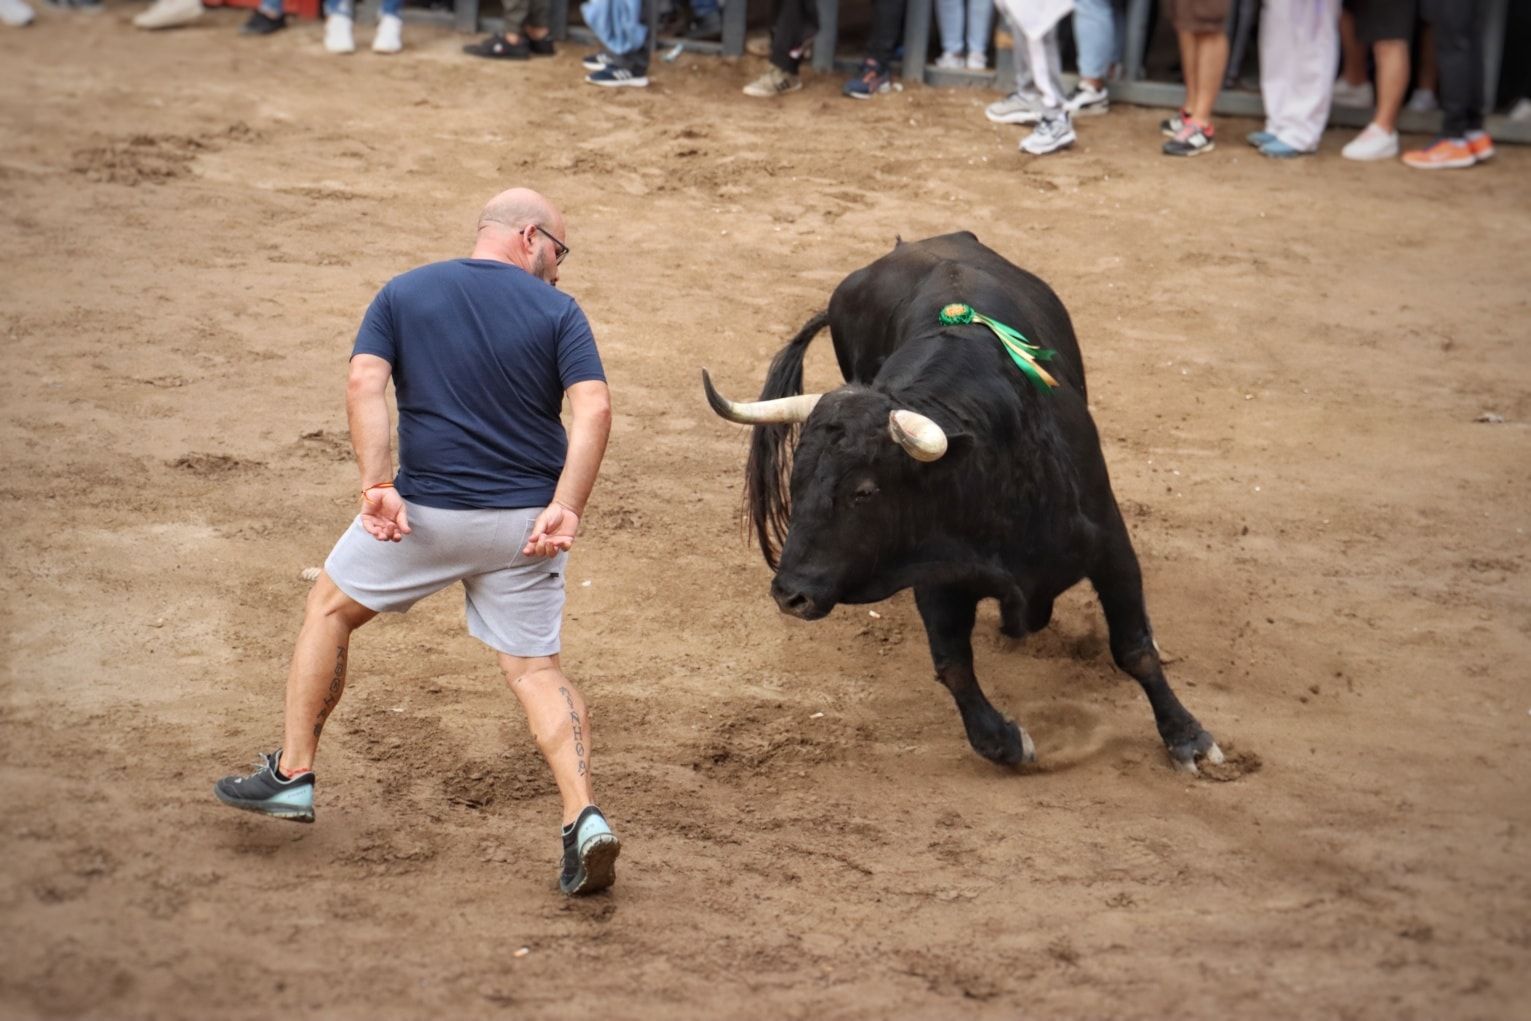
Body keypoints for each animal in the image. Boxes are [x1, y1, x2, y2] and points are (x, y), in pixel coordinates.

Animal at [701, 234, 1224, 774]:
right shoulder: (934, 568)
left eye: (864, 491)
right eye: (797, 481)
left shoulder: (1110, 544)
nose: (791, 594)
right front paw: (1004, 741)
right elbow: (952, 664)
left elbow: (1133, 648)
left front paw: (1188, 738)